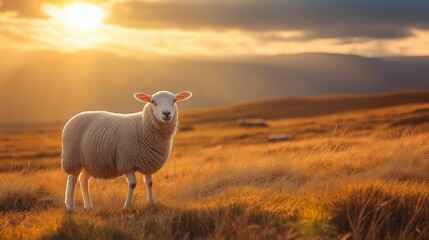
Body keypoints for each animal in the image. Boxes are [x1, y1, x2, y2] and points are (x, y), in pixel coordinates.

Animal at [61, 91, 191, 211]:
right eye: (153, 102)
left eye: (174, 100)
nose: (166, 113)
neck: (142, 126)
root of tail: (73, 117)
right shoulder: (126, 162)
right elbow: (132, 184)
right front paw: (127, 205)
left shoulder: (148, 161)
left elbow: (149, 183)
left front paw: (151, 203)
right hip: (73, 158)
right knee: (72, 180)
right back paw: (70, 207)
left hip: (88, 161)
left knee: (83, 180)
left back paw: (88, 207)